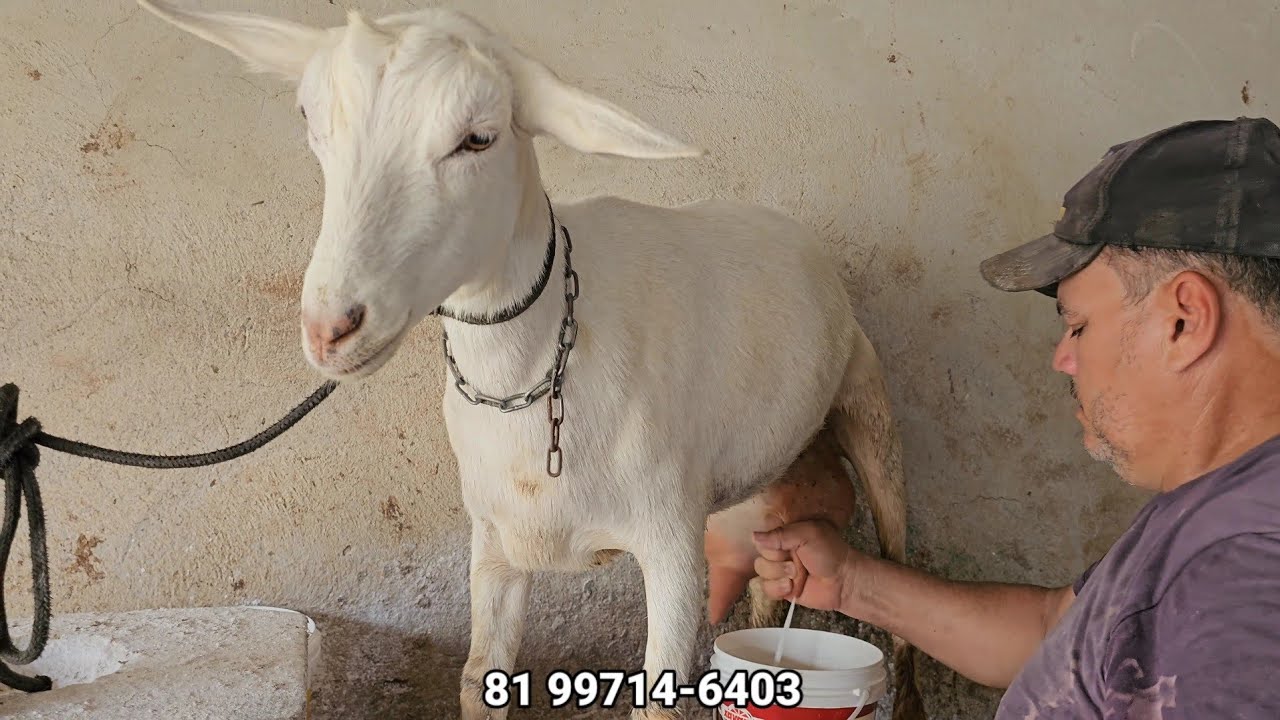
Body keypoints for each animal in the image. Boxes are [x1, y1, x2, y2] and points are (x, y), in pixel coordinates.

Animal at [136, 2, 925, 718]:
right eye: (311, 122)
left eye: (478, 138)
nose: (331, 328)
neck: (536, 370)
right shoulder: (493, 541)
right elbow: (476, 676)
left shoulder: (671, 543)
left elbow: (661, 702)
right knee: (767, 585)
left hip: (870, 410)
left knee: (899, 577)